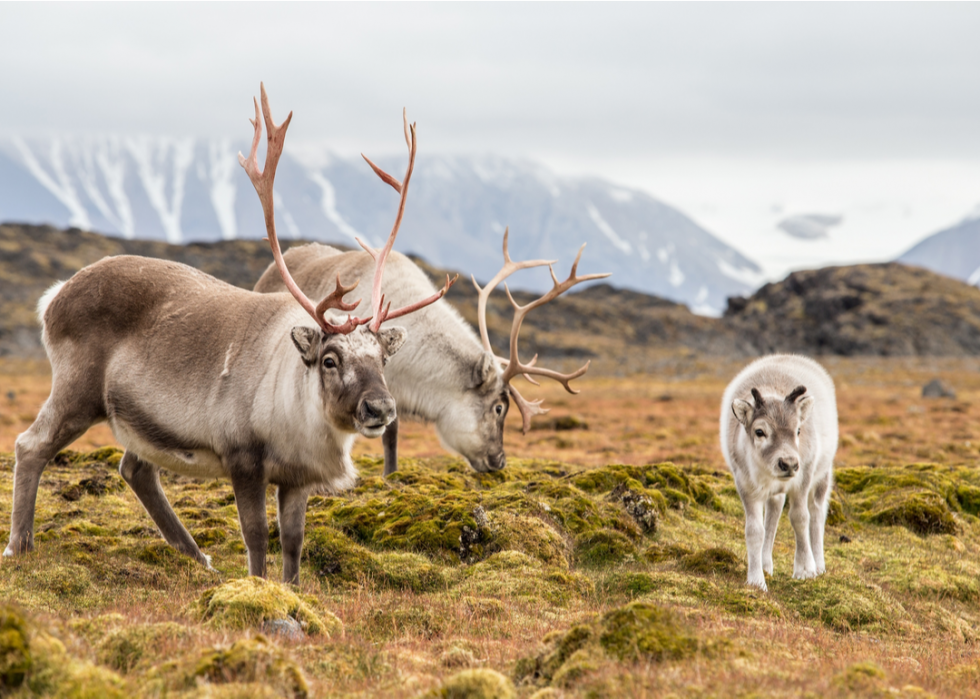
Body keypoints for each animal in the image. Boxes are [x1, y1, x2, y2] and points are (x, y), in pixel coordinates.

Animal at [716, 356, 840, 592]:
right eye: (760, 431)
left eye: (798, 430)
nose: (788, 464)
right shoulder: (746, 486)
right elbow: (755, 530)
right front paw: (756, 580)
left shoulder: (802, 479)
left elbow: (800, 518)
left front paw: (805, 570)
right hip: (776, 492)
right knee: (774, 512)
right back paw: (766, 564)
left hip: (823, 474)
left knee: (817, 513)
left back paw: (819, 564)